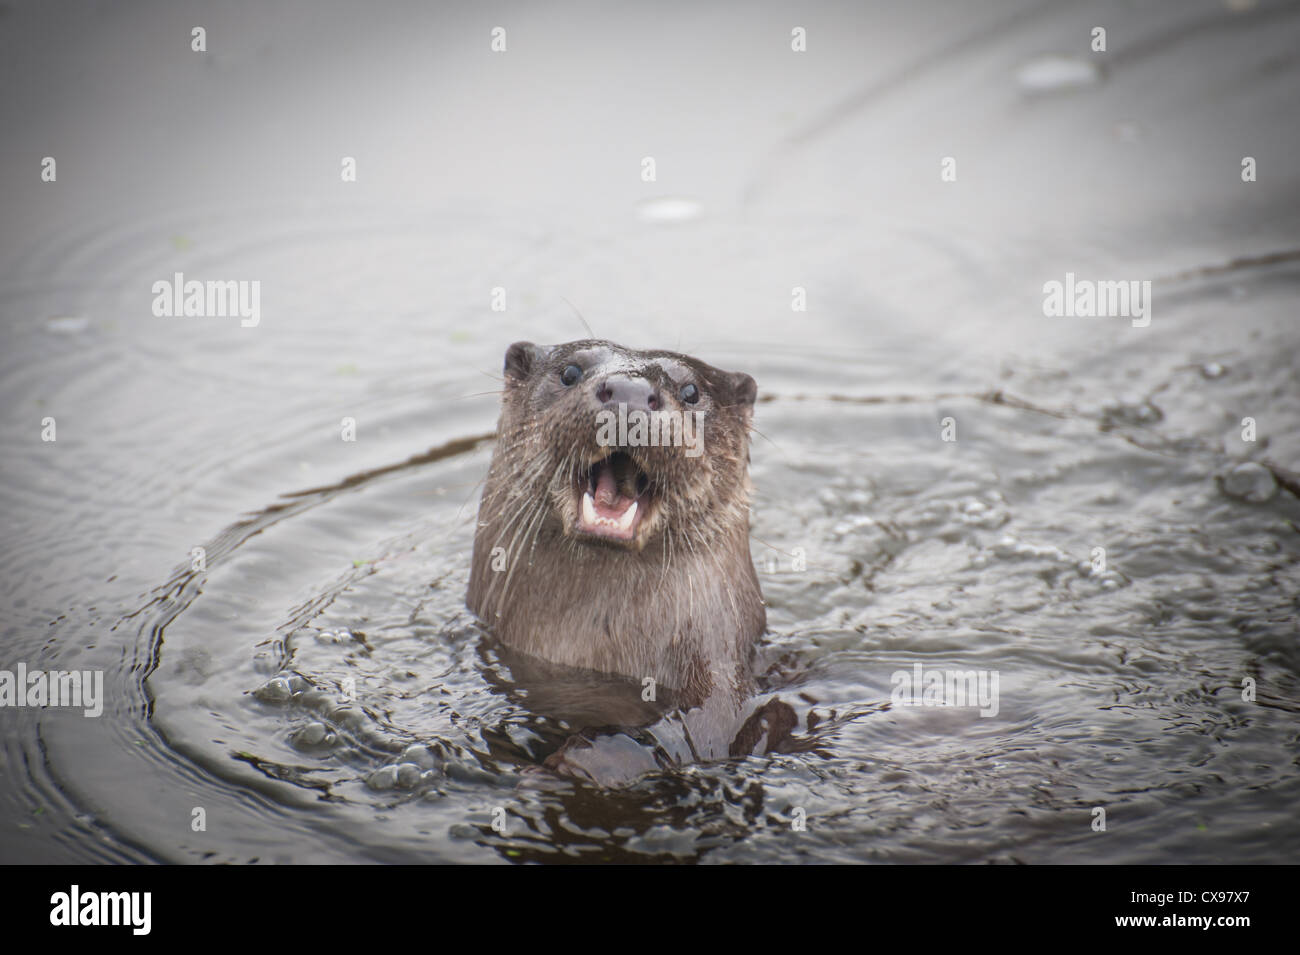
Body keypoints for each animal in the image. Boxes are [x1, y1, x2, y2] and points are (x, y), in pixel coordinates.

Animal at [465, 340, 769, 779]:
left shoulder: (724, 685)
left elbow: (704, 727)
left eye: (691, 391)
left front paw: (578, 761)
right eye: (570, 373)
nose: (630, 392)